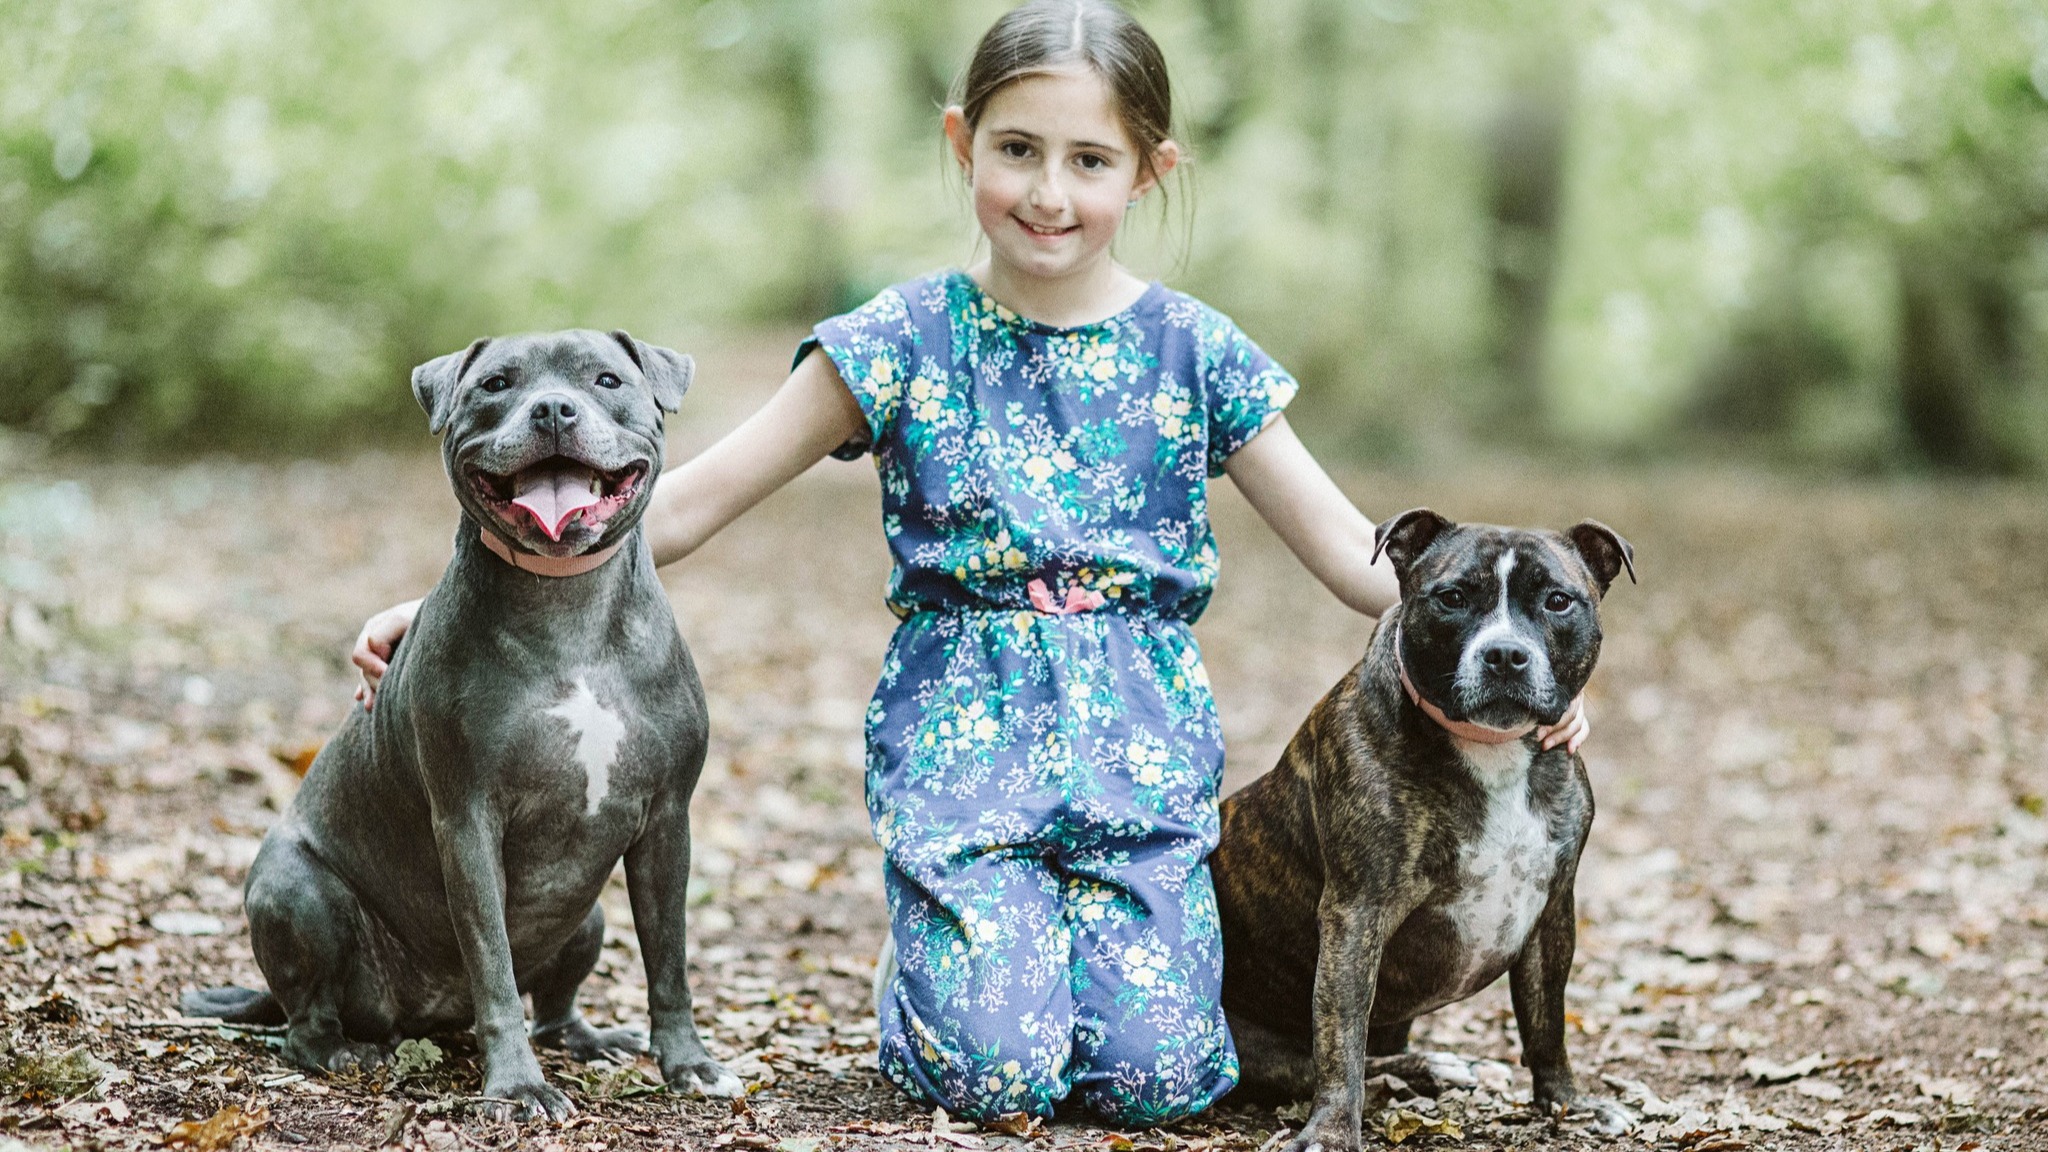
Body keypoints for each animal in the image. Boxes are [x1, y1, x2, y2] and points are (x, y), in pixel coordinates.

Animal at [184, 327, 741, 1115]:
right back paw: (345, 1052)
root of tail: (431, 1012)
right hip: (298, 893)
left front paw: (688, 1063)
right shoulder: (469, 823)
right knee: (304, 1022)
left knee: (555, 1007)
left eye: (605, 379)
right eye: (496, 384)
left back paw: (590, 1038)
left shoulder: (666, 822)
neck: (567, 607)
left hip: (588, 917)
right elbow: (494, 969)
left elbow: (670, 960)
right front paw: (517, 1087)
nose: (553, 410)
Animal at [1212, 506, 1630, 1139]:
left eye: (1558, 601)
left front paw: (1567, 1103)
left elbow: (1547, 1022)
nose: (1505, 653)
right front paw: (1332, 1131)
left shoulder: (1553, 910)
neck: (1489, 749)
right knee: (1341, 1063)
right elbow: (1341, 1038)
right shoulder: (1356, 913)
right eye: (1452, 597)